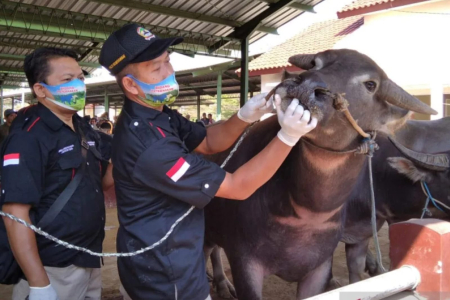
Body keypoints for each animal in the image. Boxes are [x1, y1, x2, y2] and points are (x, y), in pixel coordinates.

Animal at [204, 49, 436, 300]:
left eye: (371, 84)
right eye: (315, 63)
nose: (305, 85)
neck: (307, 213)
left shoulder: (320, 267)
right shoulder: (244, 262)